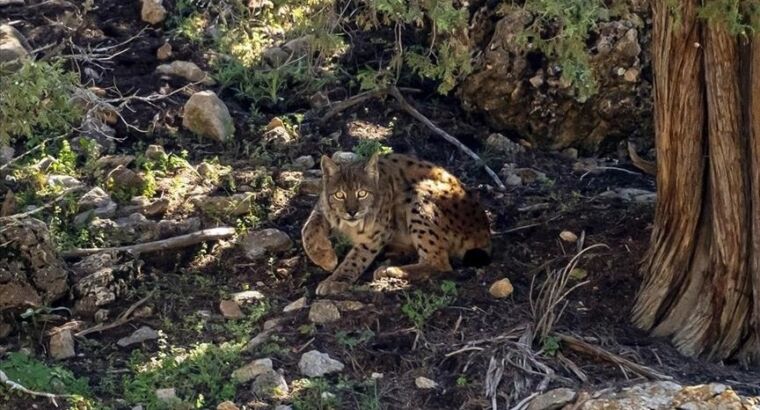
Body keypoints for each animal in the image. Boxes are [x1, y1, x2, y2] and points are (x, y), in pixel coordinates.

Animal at [300, 151, 490, 294]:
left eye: (362, 193)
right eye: (340, 195)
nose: (352, 212)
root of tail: (486, 228)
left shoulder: (377, 233)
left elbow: (356, 257)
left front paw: (336, 280)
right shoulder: (323, 207)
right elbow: (308, 229)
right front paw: (325, 258)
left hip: (418, 192)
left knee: (440, 262)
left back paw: (390, 270)